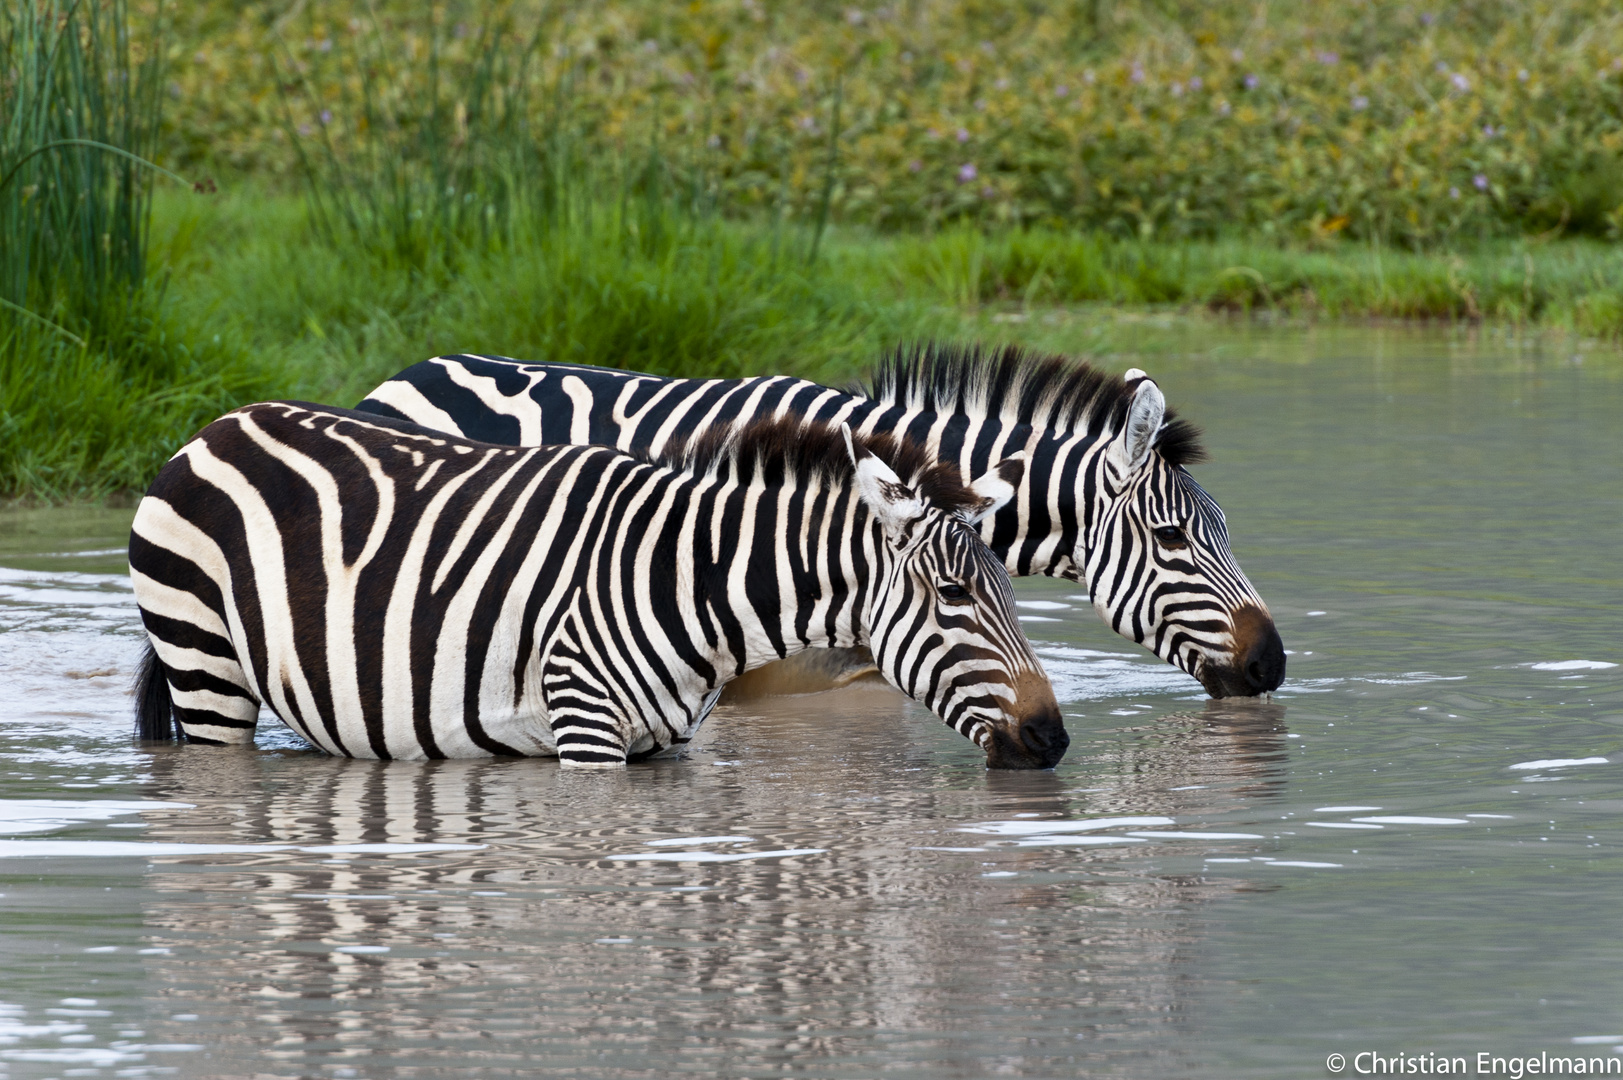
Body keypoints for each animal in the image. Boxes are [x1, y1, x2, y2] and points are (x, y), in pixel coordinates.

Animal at [129, 402, 1064, 766]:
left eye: (1012, 598)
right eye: (953, 598)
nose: (1052, 739)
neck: (693, 584)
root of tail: (223, 423)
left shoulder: (667, 744)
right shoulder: (585, 728)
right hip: (205, 665)